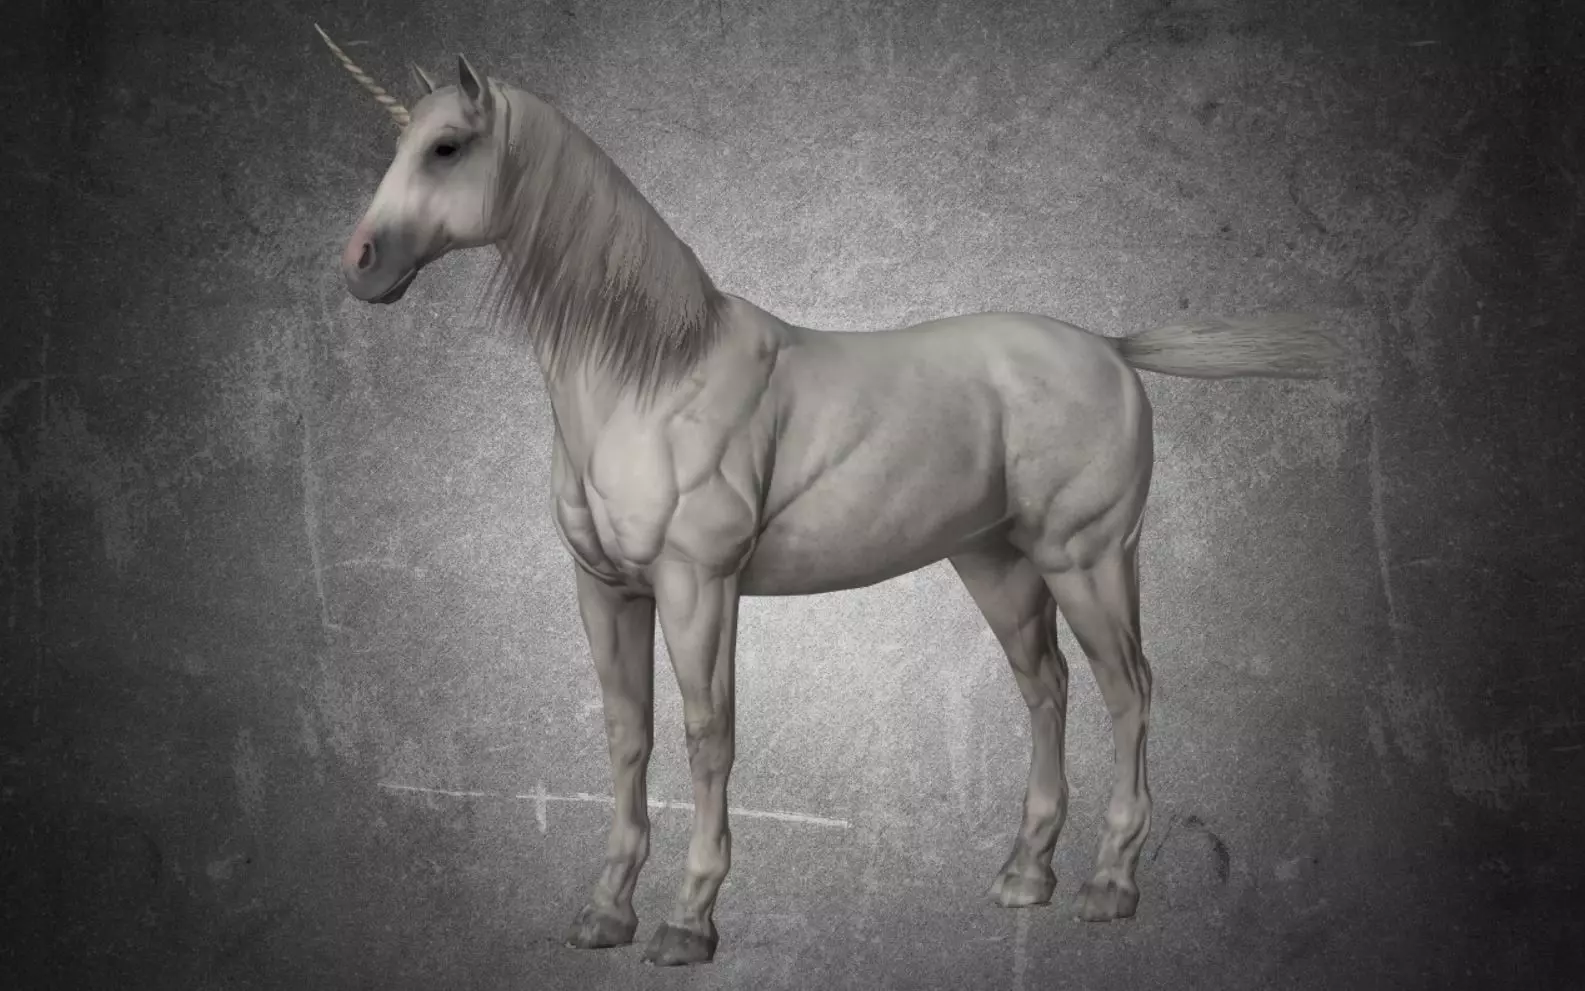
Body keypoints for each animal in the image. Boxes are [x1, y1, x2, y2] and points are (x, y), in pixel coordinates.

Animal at [314, 27, 1339, 966]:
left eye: (447, 148)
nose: (360, 262)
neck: (651, 376)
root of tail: (1111, 349)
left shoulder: (698, 586)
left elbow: (707, 736)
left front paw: (689, 920)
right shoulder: (605, 590)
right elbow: (626, 735)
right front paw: (605, 911)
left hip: (1085, 559)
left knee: (1127, 690)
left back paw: (1110, 884)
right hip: (998, 563)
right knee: (1044, 688)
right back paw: (1023, 875)